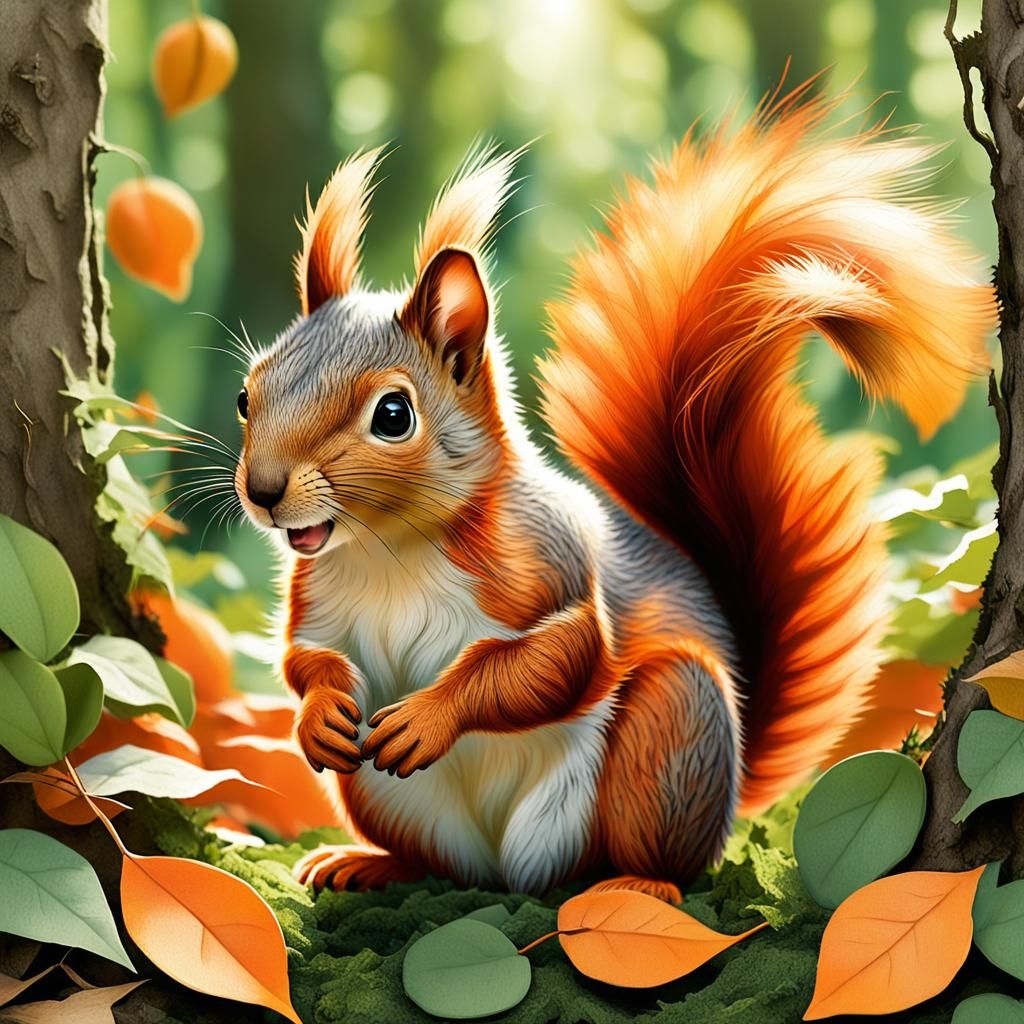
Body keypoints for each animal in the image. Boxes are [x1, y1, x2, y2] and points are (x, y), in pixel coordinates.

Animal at [234, 84, 994, 903]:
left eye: (393, 415)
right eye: (248, 395)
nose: (263, 491)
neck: (389, 548)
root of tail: (512, 873)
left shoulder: (548, 563)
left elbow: (555, 659)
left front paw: (430, 717)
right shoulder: (317, 603)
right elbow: (303, 659)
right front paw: (319, 714)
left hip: (669, 735)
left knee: (653, 854)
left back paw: (636, 888)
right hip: (389, 799)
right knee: (439, 863)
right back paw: (370, 864)